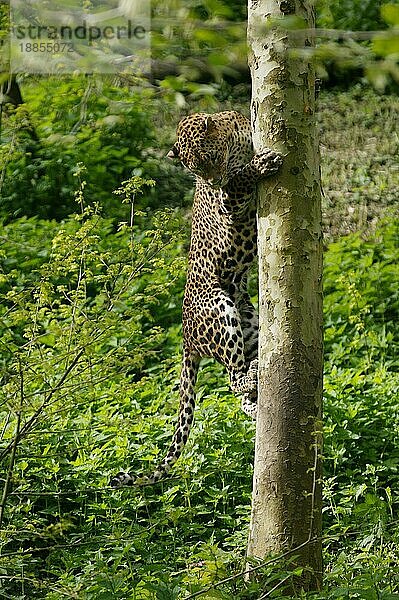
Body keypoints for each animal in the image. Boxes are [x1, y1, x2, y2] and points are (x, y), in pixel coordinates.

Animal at [111, 111, 282, 488]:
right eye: (195, 169)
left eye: (208, 158)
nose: (213, 182)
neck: (237, 138)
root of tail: (187, 338)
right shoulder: (229, 200)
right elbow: (241, 179)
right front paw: (261, 164)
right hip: (220, 308)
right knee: (233, 379)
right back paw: (251, 377)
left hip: (250, 321)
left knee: (240, 389)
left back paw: (256, 392)